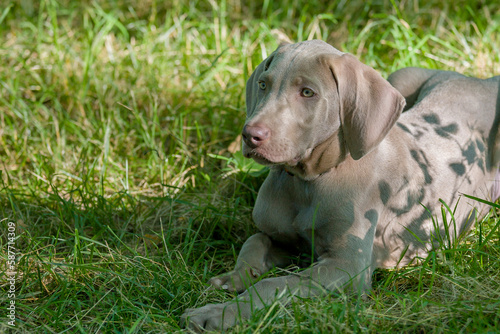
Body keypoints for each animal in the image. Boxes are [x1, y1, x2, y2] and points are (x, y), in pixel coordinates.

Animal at [181, 39, 500, 332]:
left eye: (307, 92)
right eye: (262, 84)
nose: (250, 135)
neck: (309, 182)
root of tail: (482, 81)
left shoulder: (347, 268)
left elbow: (275, 284)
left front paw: (217, 313)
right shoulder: (288, 241)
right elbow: (255, 240)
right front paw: (233, 278)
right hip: (402, 74)